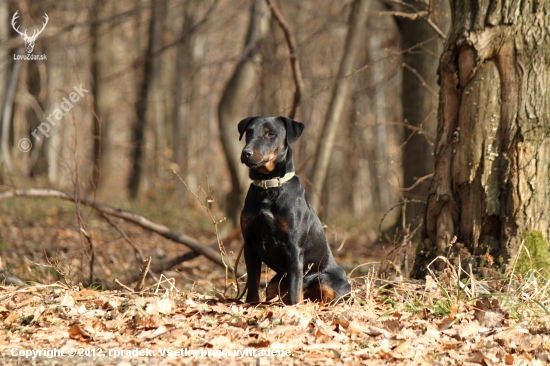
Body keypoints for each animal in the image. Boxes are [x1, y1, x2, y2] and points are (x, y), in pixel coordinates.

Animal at [238, 116, 352, 304]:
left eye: (271, 134)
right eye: (249, 132)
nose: (246, 153)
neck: (268, 187)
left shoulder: (294, 247)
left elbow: (294, 288)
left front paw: (294, 308)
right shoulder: (250, 244)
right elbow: (253, 282)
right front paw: (251, 304)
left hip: (326, 280)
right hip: (274, 283)